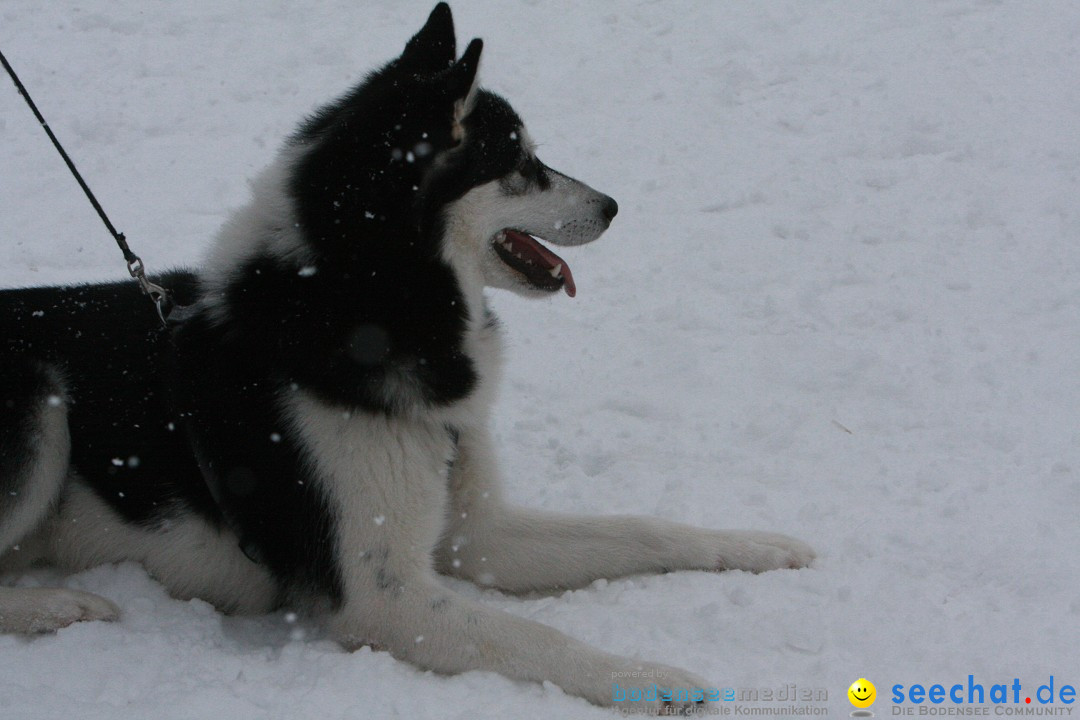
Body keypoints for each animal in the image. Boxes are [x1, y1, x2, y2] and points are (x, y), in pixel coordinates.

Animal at [0, 4, 812, 716]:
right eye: (520, 162)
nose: (612, 206)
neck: (371, 307)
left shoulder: (477, 532)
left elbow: (640, 530)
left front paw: (758, 546)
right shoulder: (382, 599)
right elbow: (533, 635)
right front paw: (647, 677)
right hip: (39, 409)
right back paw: (56, 605)